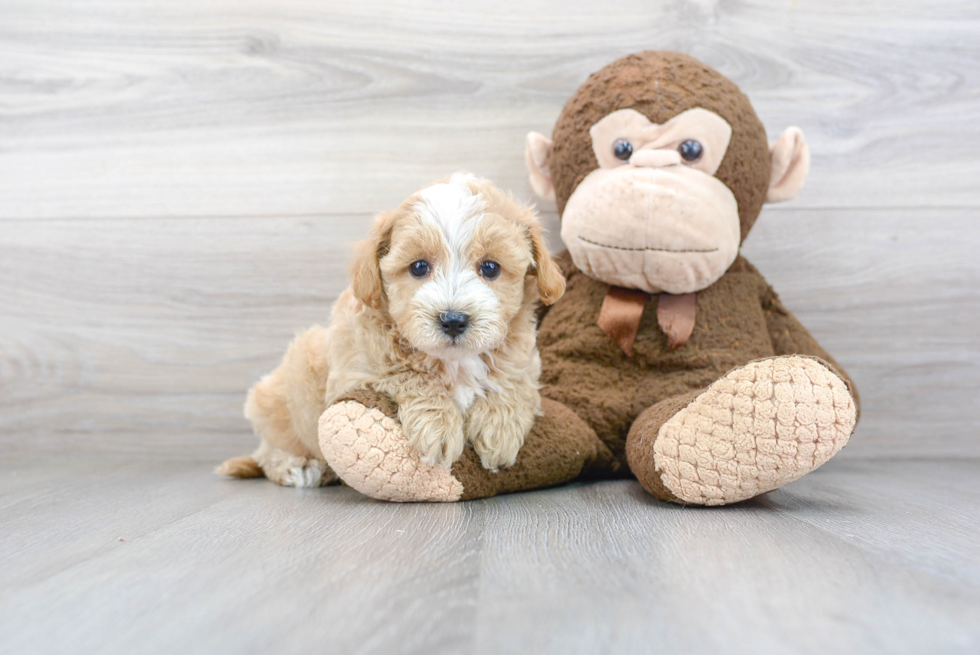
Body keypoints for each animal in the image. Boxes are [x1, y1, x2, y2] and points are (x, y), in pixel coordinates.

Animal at [217, 173, 564, 486]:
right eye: (419, 267)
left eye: (490, 268)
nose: (453, 320)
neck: (455, 361)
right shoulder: (354, 372)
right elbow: (408, 374)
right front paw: (438, 425)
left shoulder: (527, 361)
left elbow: (512, 379)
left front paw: (498, 426)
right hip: (278, 400)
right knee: (270, 452)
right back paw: (295, 467)